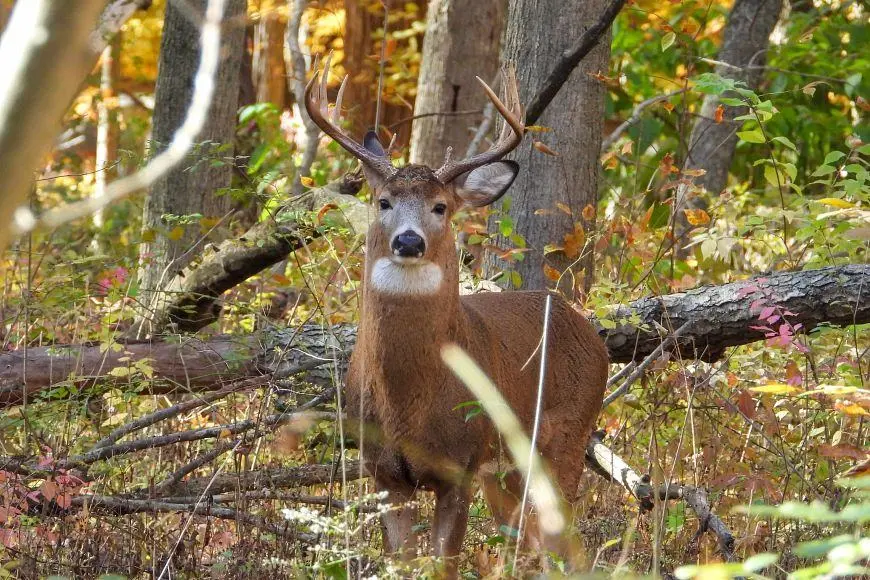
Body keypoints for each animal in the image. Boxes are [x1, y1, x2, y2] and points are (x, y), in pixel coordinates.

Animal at [304, 56, 609, 576]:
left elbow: (443, 564)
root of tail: (591, 332)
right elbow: (403, 562)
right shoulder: (384, 473)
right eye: (383, 202)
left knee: (565, 547)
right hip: (506, 472)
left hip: (566, 437)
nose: (409, 241)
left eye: (440, 206)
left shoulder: (461, 465)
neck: (409, 402)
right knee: (529, 542)